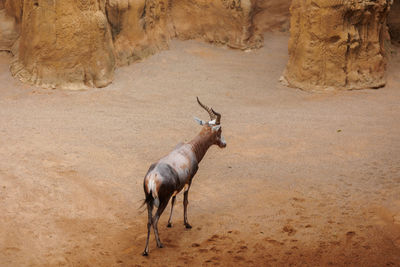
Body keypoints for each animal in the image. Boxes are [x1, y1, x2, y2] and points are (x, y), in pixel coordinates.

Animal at [143, 97, 227, 256]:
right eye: (219, 130)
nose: (224, 144)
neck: (189, 149)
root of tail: (153, 176)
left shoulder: (178, 186)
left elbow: (175, 200)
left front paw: (170, 223)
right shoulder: (189, 180)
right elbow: (185, 201)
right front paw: (187, 224)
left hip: (149, 200)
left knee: (149, 221)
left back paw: (145, 251)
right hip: (161, 201)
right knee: (155, 220)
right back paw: (159, 244)